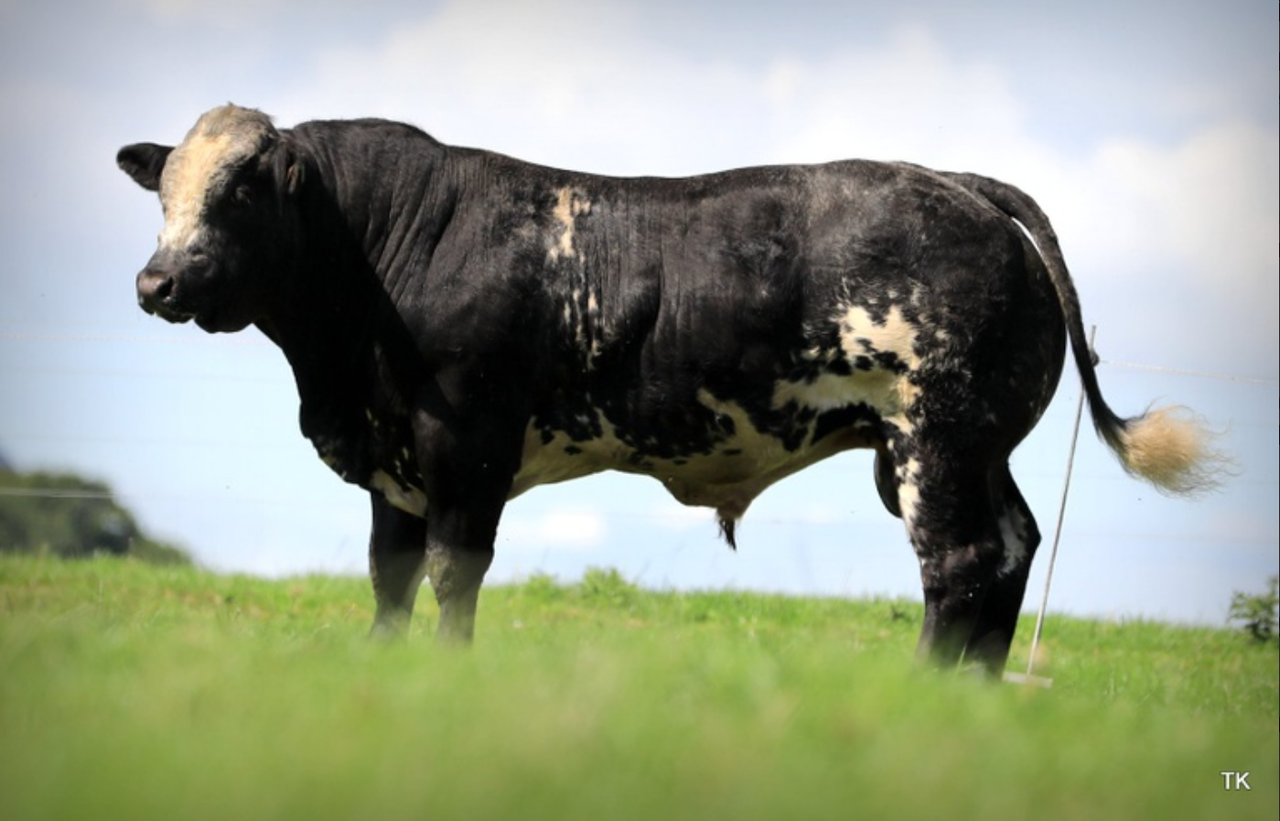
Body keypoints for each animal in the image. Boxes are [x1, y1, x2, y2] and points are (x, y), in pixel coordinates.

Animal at [117, 104, 1223, 674]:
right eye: (164, 189)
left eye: (239, 190)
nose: (155, 282)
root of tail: (959, 182)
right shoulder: (394, 459)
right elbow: (389, 576)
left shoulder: (465, 441)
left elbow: (450, 570)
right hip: (968, 446)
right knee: (1012, 546)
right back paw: (973, 692)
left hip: (935, 439)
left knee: (957, 562)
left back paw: (921, 686)